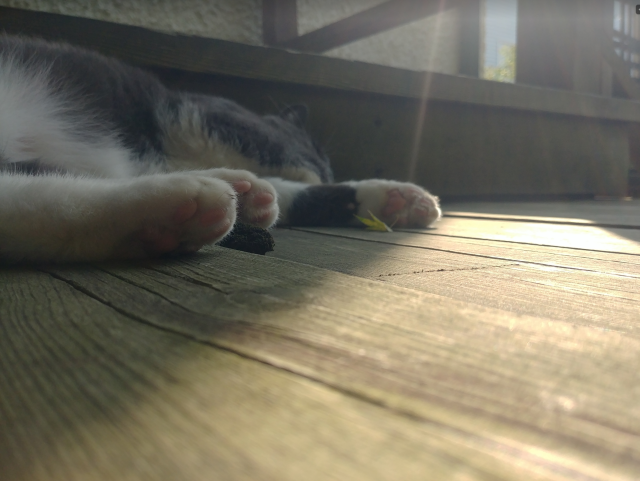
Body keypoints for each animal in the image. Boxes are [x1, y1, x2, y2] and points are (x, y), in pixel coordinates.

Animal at [0, 35, 440, 262]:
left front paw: (392, 198)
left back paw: (239, 192)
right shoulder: (204, 120)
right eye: (317, 154)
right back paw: (169, 207)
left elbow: (292, 192)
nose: (328, 171)